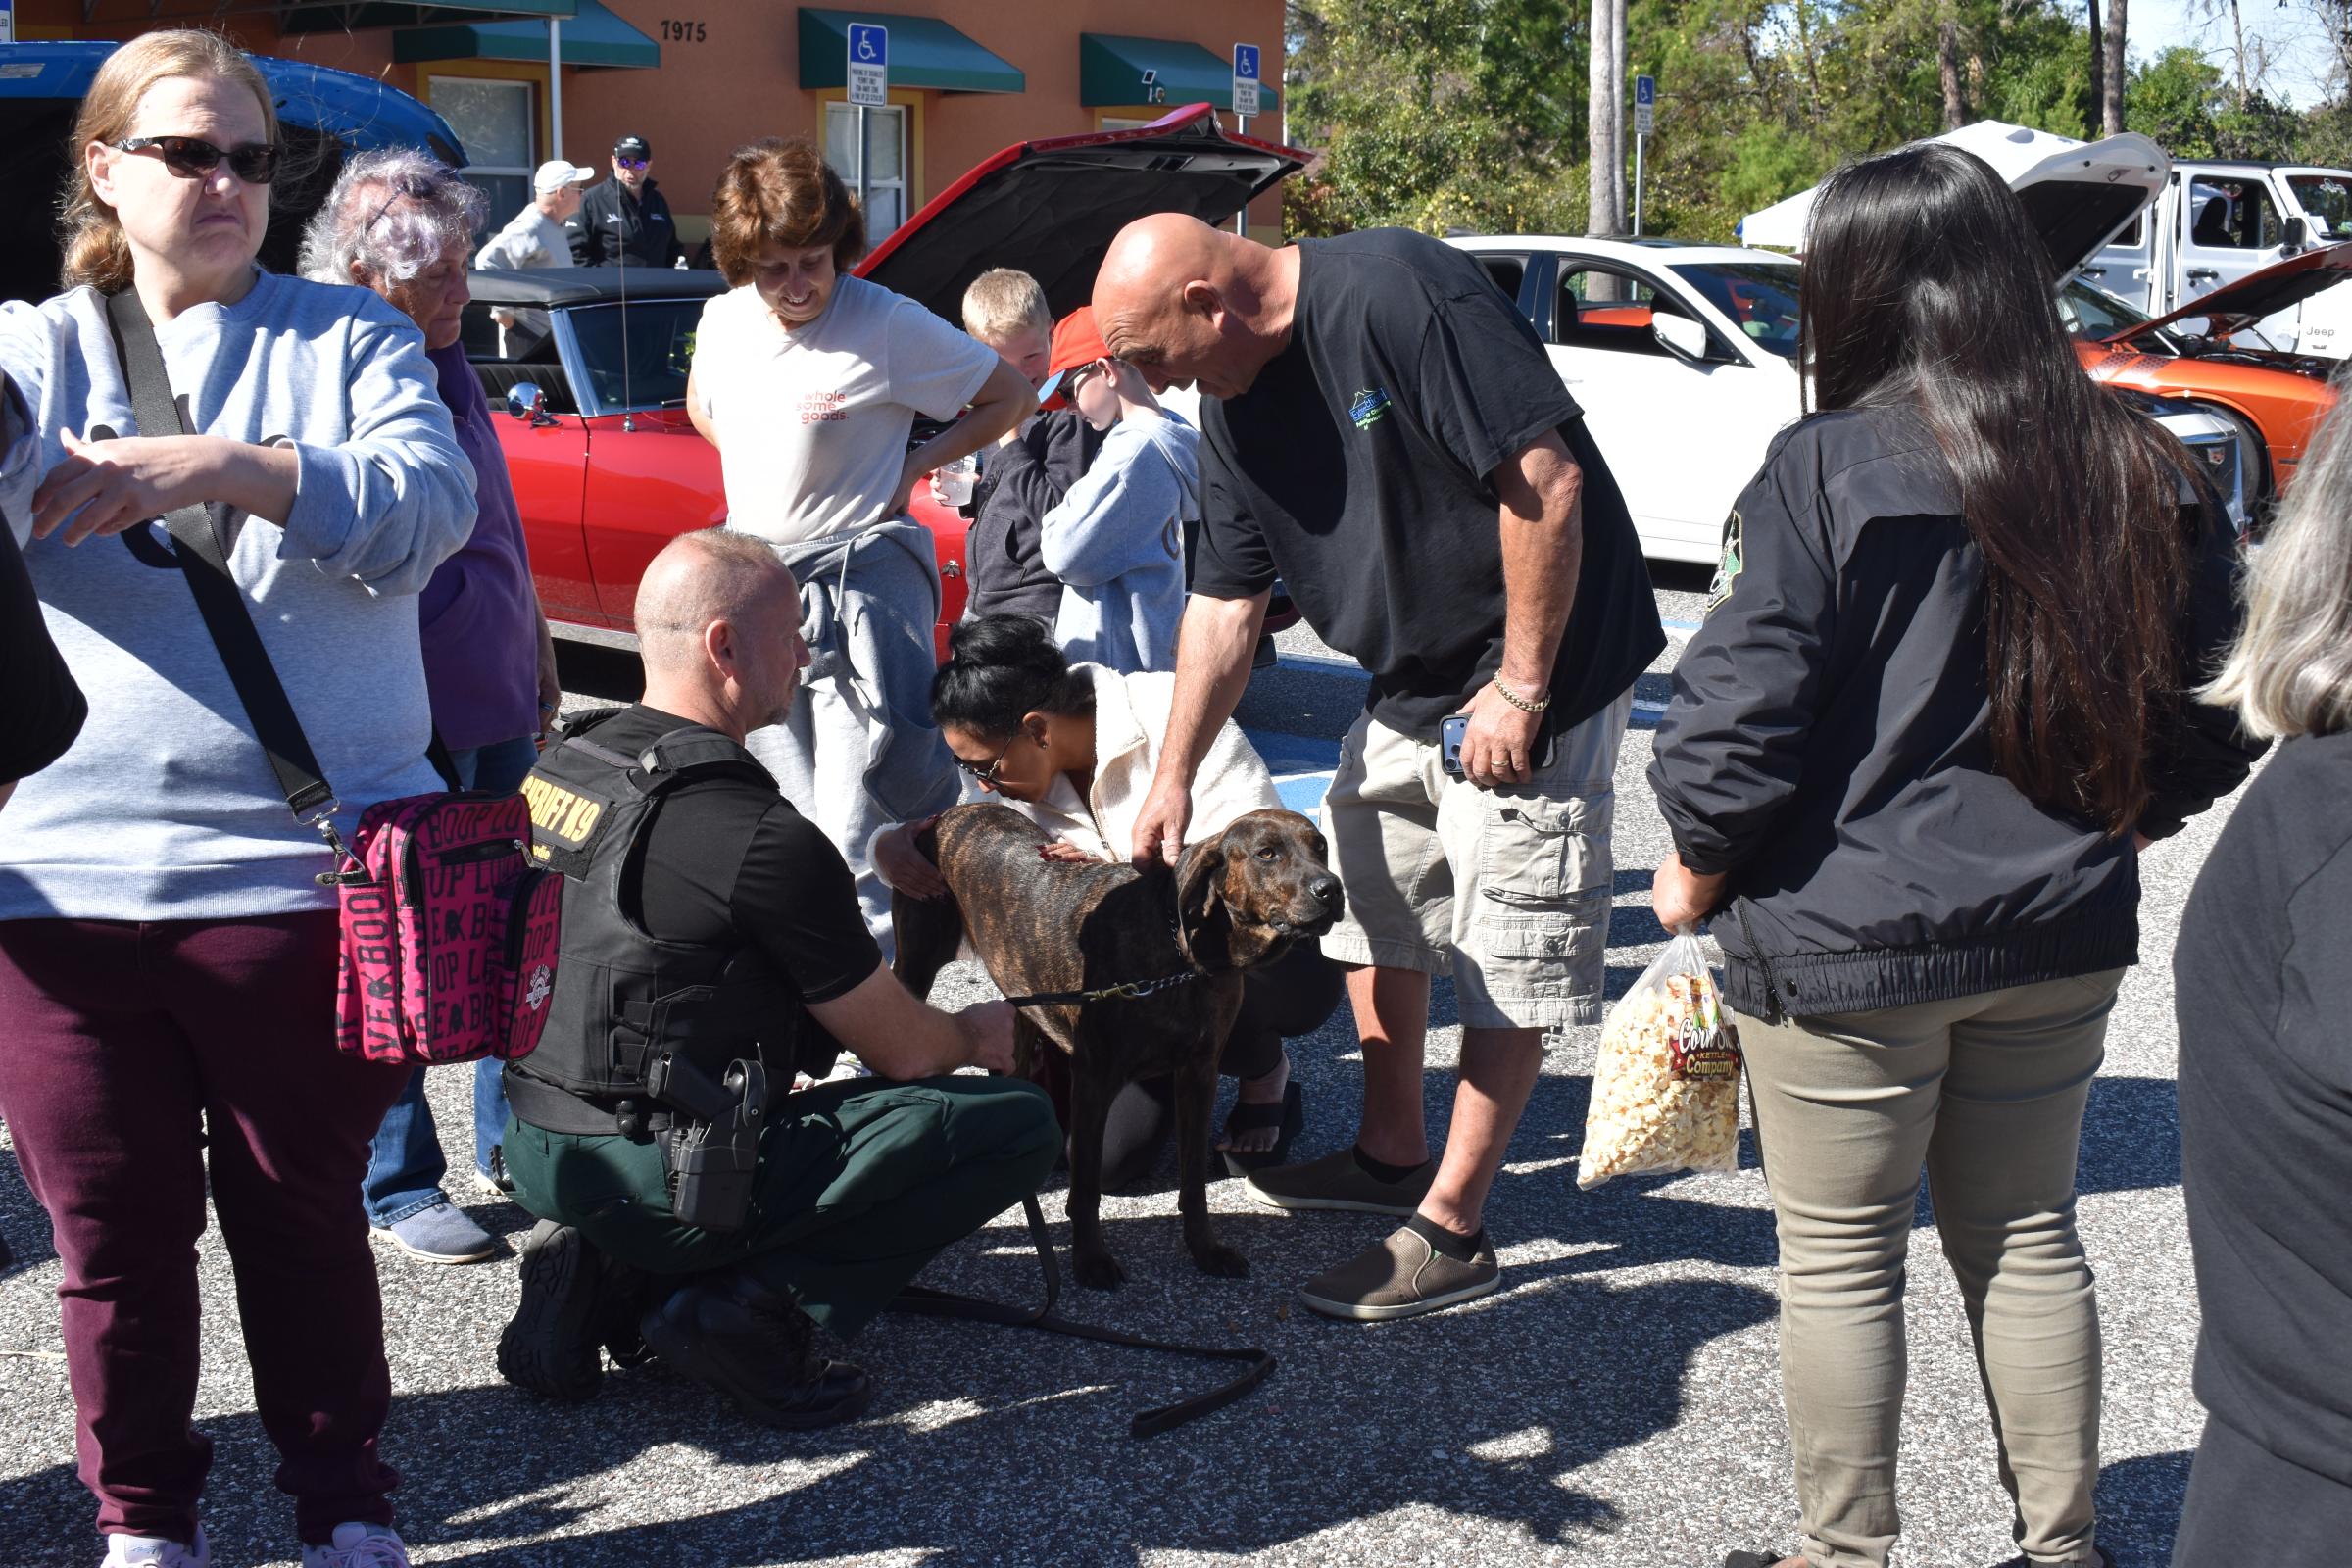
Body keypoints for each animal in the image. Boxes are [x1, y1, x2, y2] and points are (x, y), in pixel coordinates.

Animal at [892, 803, 1342, 1289]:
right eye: (1266, 853)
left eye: (1322, 847)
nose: (1330, 889)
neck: (1183, 959)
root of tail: (954, 810)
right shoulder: (1094, 1080)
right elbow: (1088, 1184)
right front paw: (1090, 1259)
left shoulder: (1197, 1075)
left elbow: (1193, 1180)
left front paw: (1205, 1248)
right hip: (915, 967)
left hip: (1022, 1004)